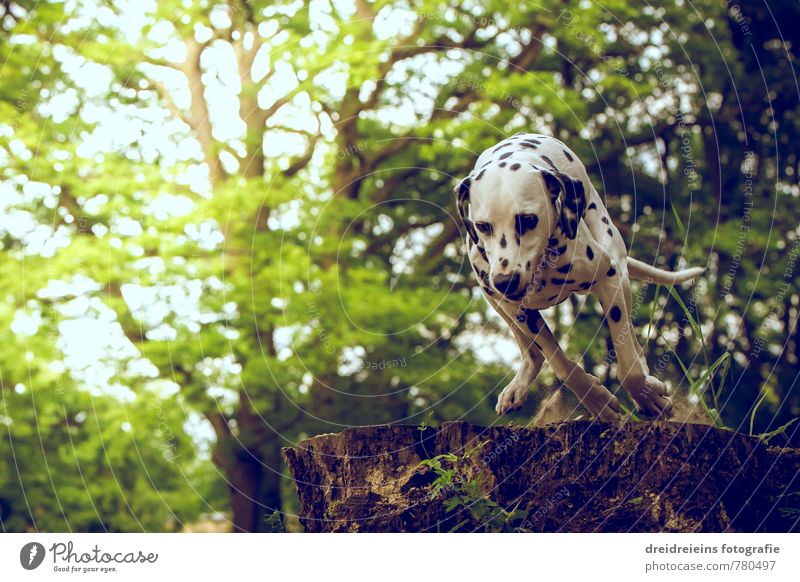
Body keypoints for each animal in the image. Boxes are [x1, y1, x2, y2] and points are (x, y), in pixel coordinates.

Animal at [454, 134, 704, 422]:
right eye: (483, 226)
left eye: (528, 220)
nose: (506, 281)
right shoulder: (519, 311)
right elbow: (560, 364)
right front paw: (596, 400)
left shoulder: (608, 280)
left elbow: (628, 367)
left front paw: (646, 396)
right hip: (496, 302)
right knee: (533, 355)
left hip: (620, 273)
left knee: (634, 345)